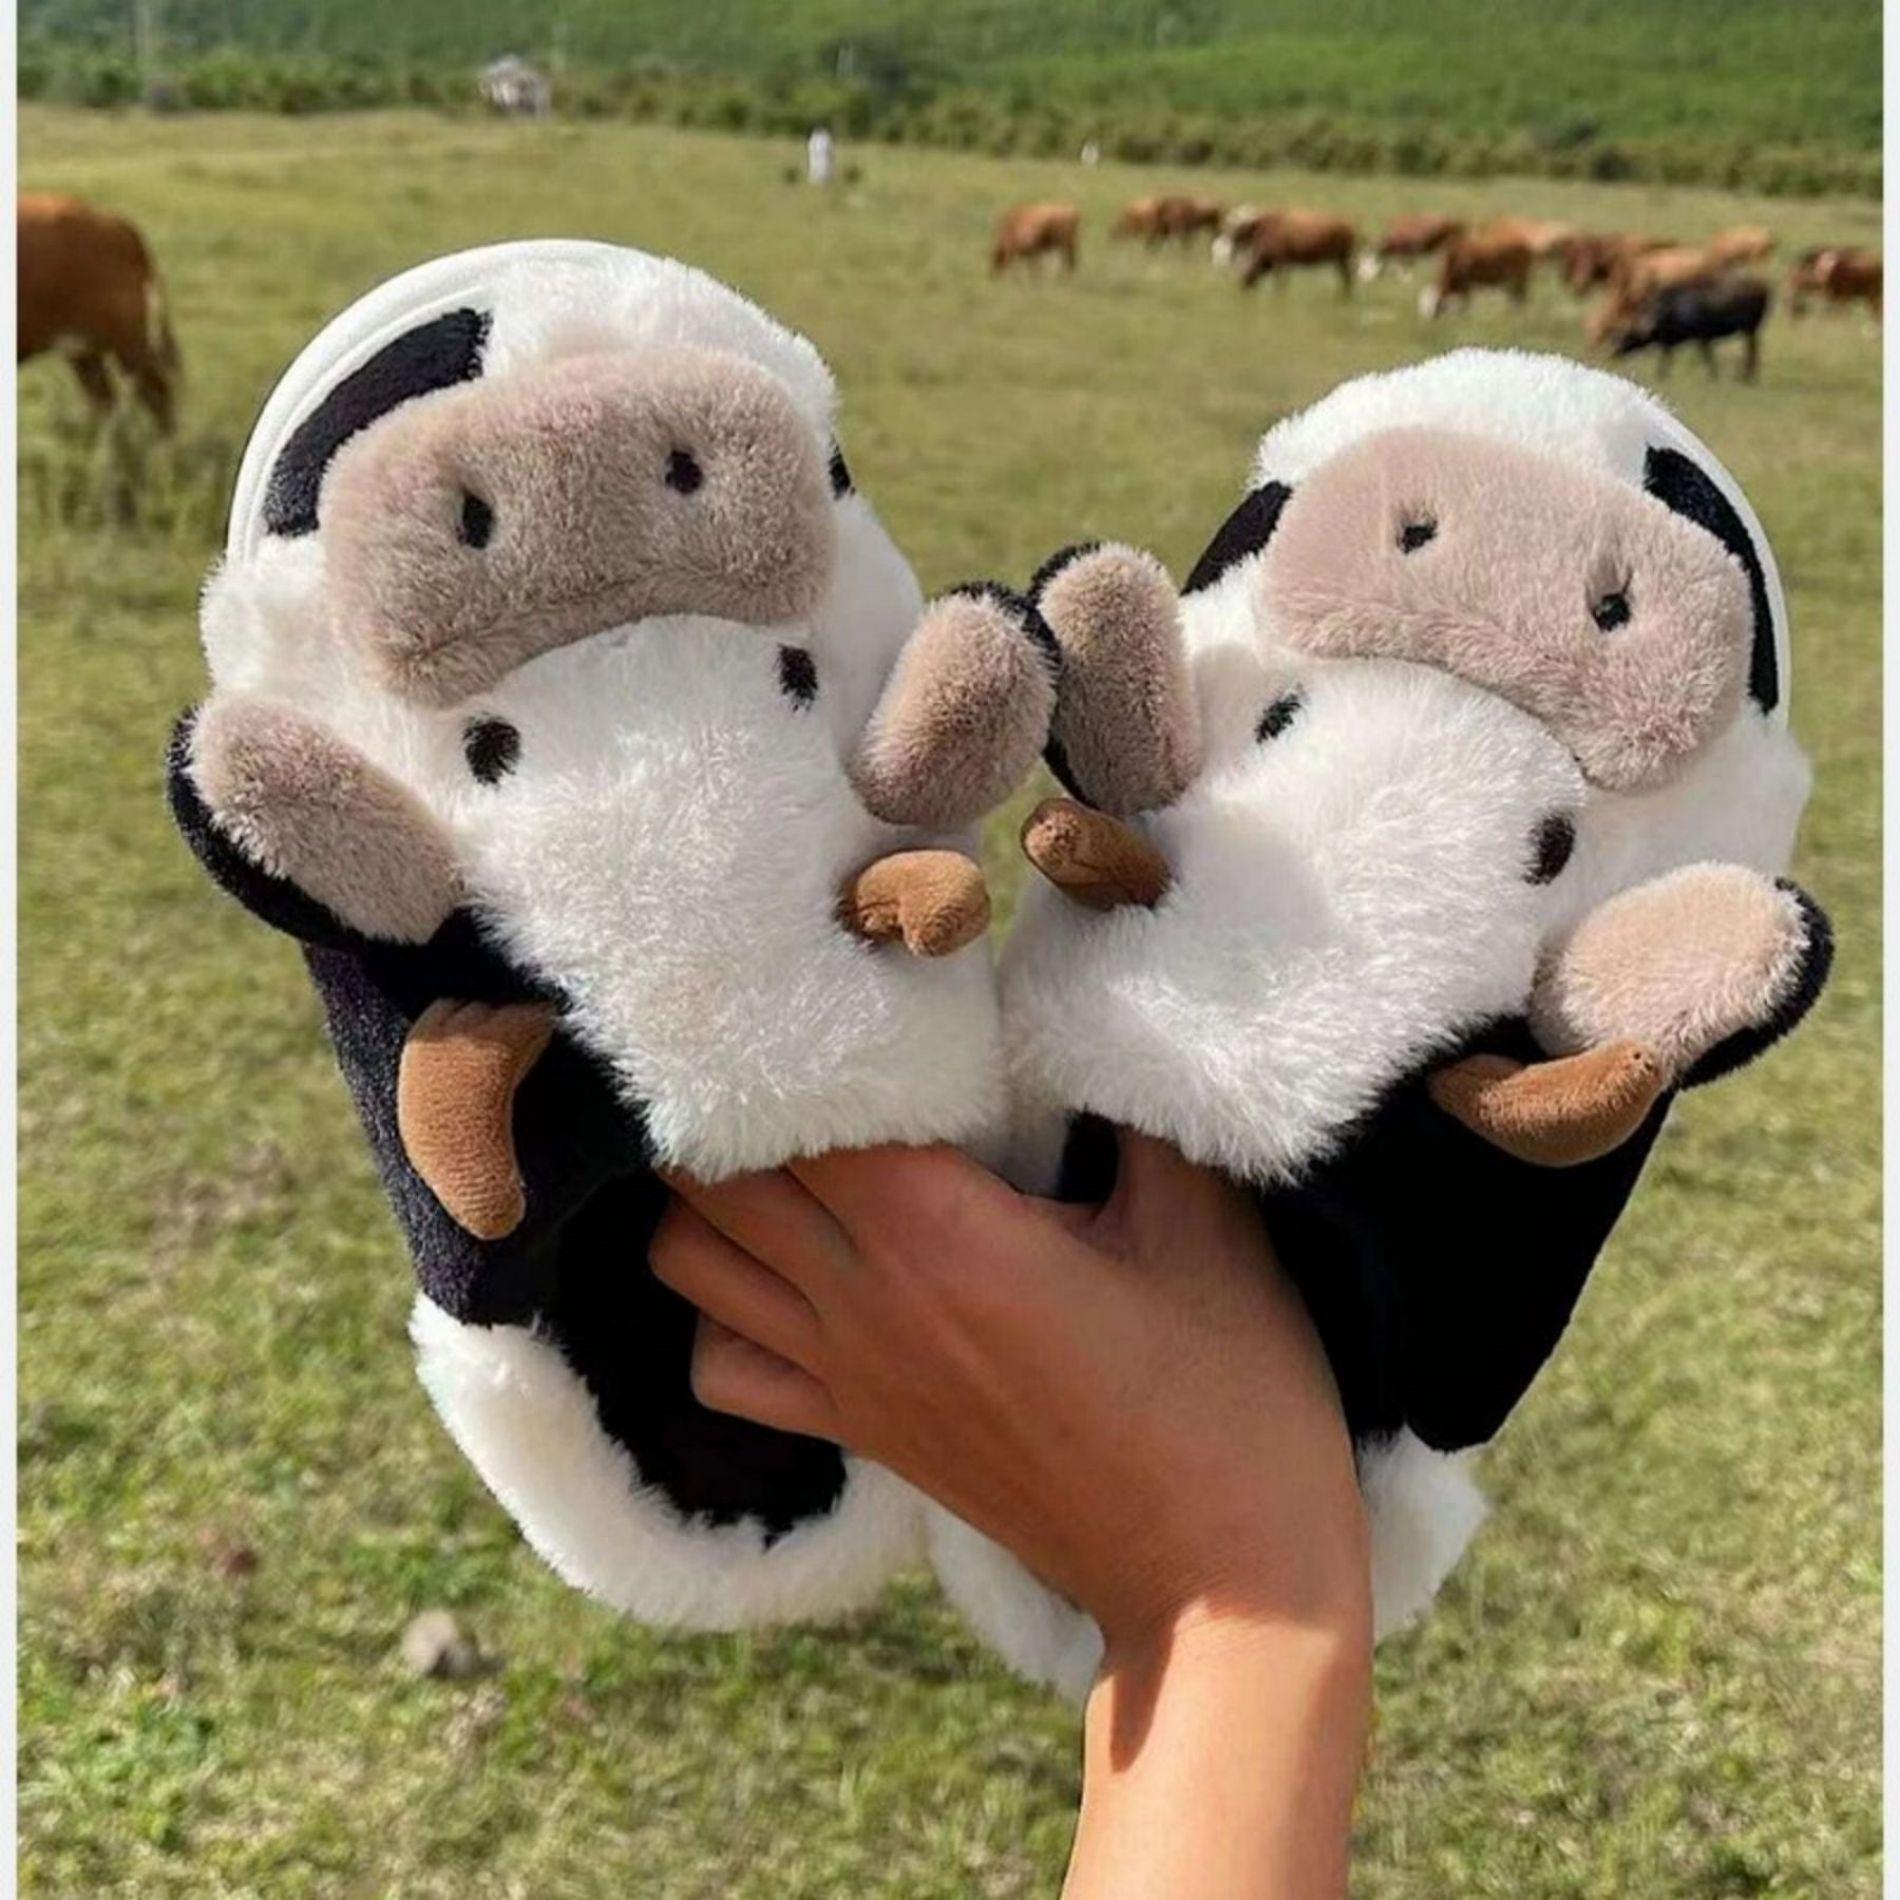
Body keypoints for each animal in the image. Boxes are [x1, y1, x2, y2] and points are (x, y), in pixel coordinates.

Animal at [1606, 275, 1772, 381]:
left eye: (1626, 336)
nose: (1613, 353)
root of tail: (1765, 288)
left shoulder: (1701, 336)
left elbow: (1706, 358)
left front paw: (1712, 376)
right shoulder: (1677, 340)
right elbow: (1669, 357)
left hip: (1749, 328)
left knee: (1752, 352)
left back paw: (1746, 377)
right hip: (1751, 330)